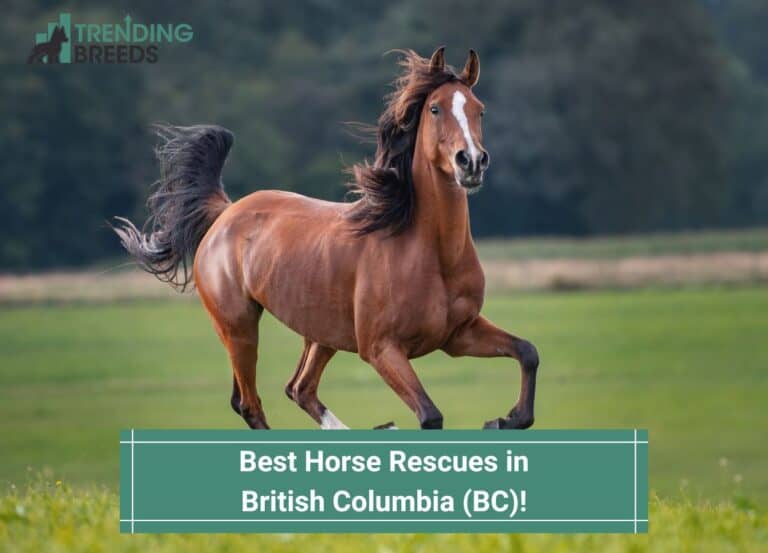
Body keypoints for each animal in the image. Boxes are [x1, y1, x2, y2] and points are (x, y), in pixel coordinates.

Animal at [114, 47, 539, 430]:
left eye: (479, 109)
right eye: (435, 108)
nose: (471, 162)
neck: (430, 252)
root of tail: (225, 214)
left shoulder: (458, 335)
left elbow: (527, 352)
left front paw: (506, 419)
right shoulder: (382, 349)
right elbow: (430, 415)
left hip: (321, 335)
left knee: (299, 389)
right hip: (239, 328)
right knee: (251, 405)